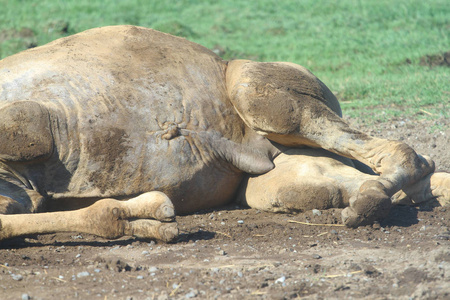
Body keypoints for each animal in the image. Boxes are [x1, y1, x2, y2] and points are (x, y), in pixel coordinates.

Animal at [0, 24, 448, 243]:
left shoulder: (29, 119)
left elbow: (26, 130)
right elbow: (15, 215)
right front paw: (148, 220)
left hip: (256, 89)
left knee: (400, 153)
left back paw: (372, 202)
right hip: (278, 176)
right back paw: (373, 200)